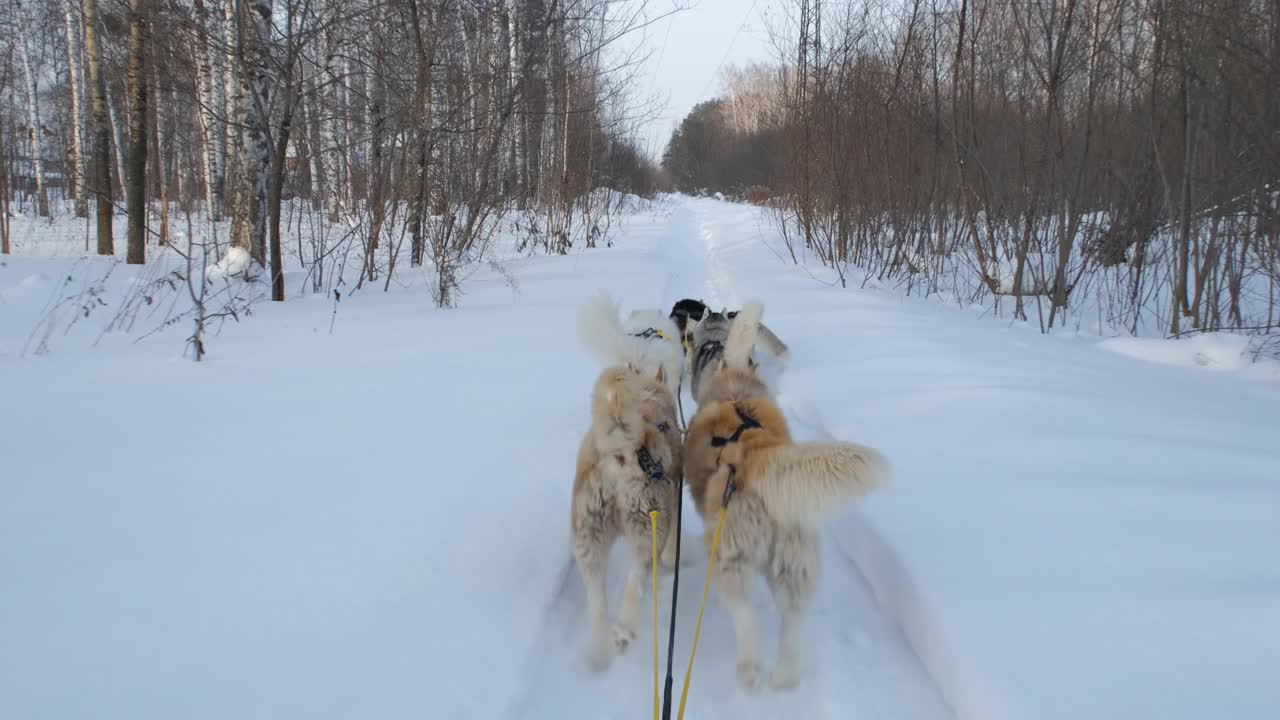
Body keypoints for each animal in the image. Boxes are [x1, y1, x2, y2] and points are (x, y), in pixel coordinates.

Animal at [573, 289, 686, 666]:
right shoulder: (674, 500)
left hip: (588, 538)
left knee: (595, 599)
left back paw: (598, 650)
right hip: (646, 528)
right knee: (635, 582)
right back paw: (624, 629)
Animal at [686, 299, 885, 686]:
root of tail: (760, 458)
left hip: (732, 558)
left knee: (745, 616)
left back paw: (750, 670)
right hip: (794, 565)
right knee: (792, 623)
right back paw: (785, 676)